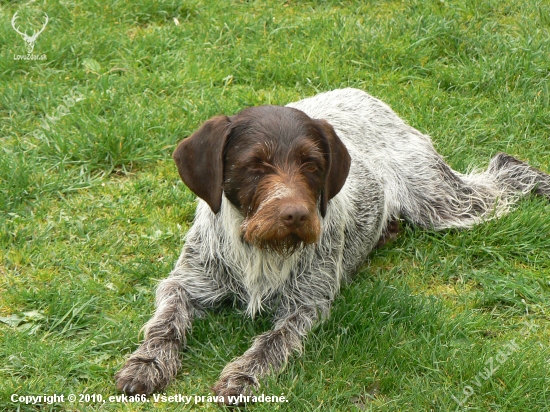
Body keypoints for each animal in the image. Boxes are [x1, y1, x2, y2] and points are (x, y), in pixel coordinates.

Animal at [114, 87, 548, 406]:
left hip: (444, 202)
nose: (296, 215)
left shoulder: (306, 306)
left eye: (311, 163)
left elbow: (273, 342)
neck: (261, 249)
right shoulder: (186, 282)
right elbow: (165, 322)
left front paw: (243, 376)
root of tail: (368, 96)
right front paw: (146, 363)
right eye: (254, 164)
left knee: (505, 171)